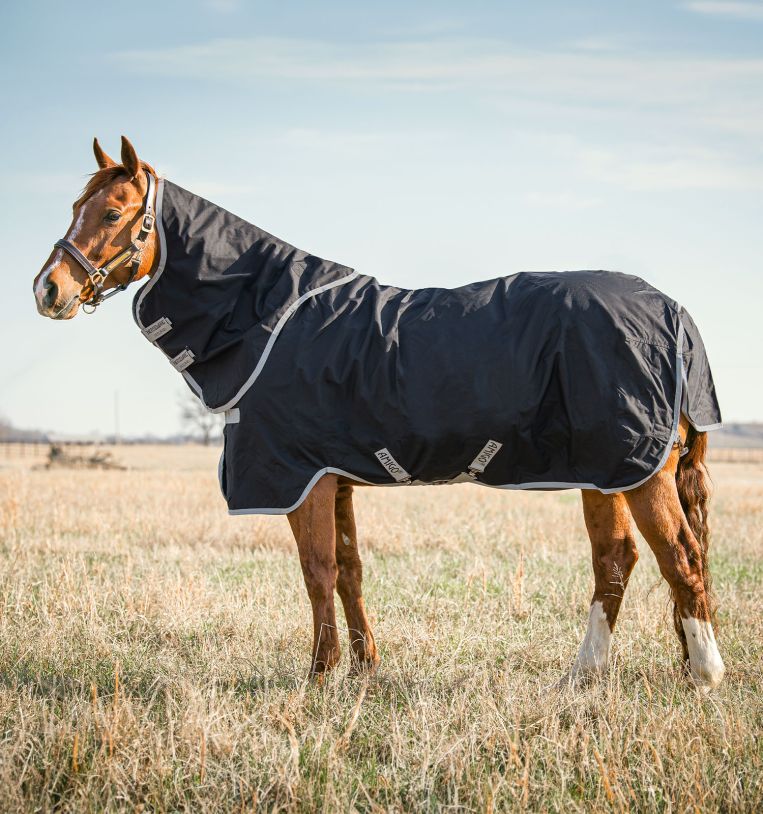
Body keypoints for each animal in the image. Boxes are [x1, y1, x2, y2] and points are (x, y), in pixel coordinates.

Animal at [32, 136, 726, 690]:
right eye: (74, 209)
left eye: (113, 212)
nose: (48, 289)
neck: (268, 315)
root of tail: (674, 313)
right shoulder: (334, 479)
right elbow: (349, 571)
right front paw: (365, 669)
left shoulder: (302, 479)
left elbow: (316, 572)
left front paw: (319, 675)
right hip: (604, 472)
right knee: (617, 560)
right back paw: (583, 674)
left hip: (638, 469)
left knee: (680, 558)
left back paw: (704, 673)